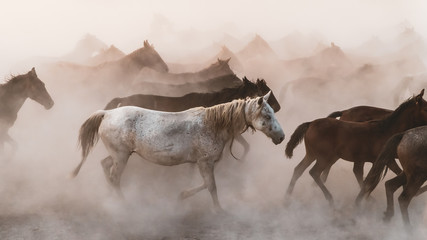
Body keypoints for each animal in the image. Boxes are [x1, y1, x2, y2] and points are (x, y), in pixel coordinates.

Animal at [71, 92, 284, 212]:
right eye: (267, 115)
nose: (281, 137)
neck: (212, 125)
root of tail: (107, 113)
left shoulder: (201, 162)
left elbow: (205, 184)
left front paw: (182, 195)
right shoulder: (205, 162)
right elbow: (211, 186)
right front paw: (219, 210)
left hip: (120, 154)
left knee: (105, 166)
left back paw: (111, 195)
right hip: (121, 156)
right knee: (115, 177)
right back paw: (124, 204)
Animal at [284, 90, 427, 206]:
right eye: (426, 109)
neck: (386, 130)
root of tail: (310, 123)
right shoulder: (388, 160)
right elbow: (392, 174)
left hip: (313, 155)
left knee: (299, 170)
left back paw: (288, 196)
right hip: (324, 158)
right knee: (314, 172)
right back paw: (329, 198)